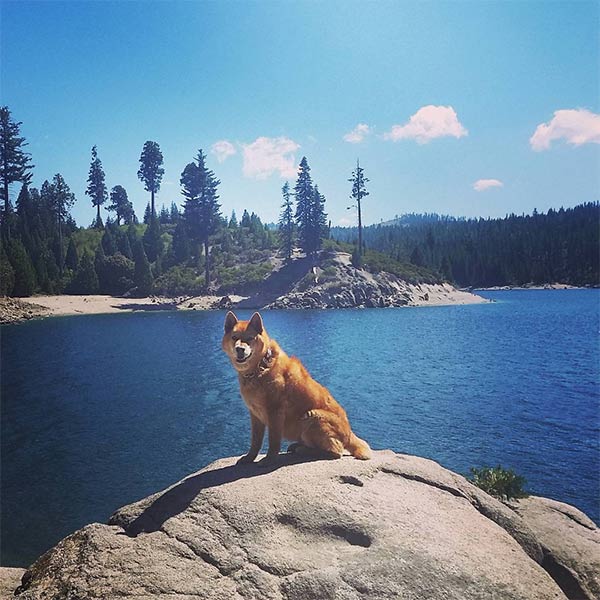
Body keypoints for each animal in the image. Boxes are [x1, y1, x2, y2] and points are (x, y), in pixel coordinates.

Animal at [220, 312, 370, 466]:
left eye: (250, 338)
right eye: (234, 337)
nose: (239, 349)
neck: (260, 367)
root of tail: (349, 433)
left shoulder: (275, 412)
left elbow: (273, 440)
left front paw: (269, 459)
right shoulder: (255, 414)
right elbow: (255, 441)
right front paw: (250, 457)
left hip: (312, 416)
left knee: (336, 451)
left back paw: (305, 450)